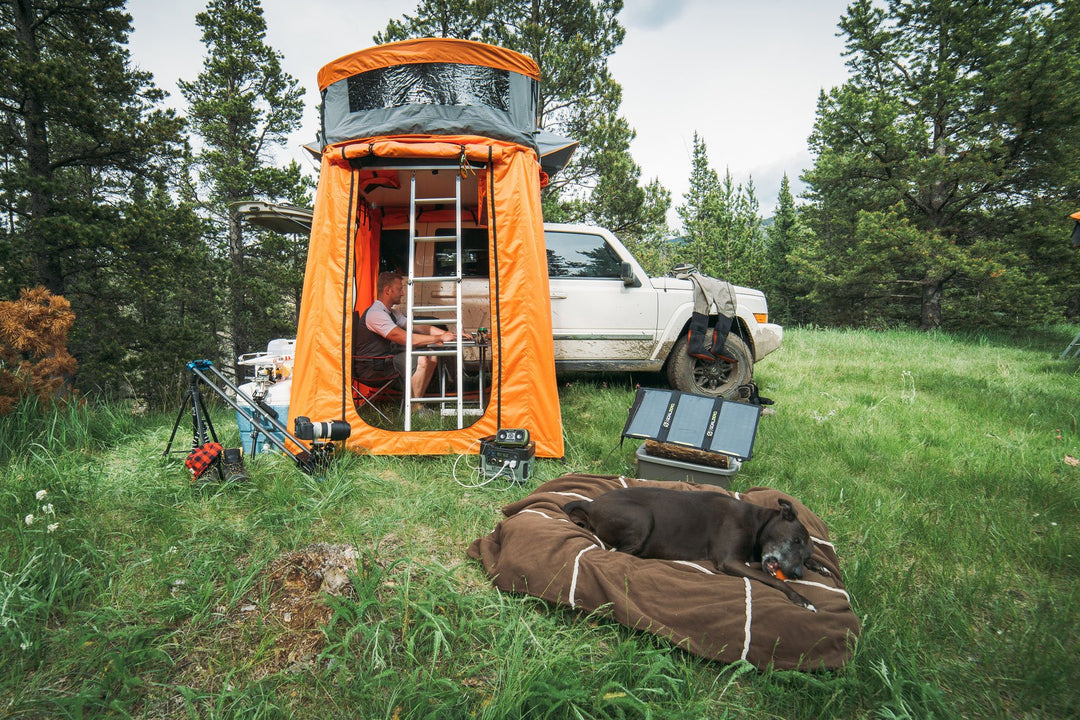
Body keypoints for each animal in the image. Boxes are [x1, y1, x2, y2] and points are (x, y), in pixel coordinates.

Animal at [565, 487, 825, 613]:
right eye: (796, 540)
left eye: (806, 553)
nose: (798, 574)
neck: (757, 523)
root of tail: (591, 504)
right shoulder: (729, 561)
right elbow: (775, 581)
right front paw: (803, 599)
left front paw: (819, 565)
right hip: (643, 518)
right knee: (618, 552)